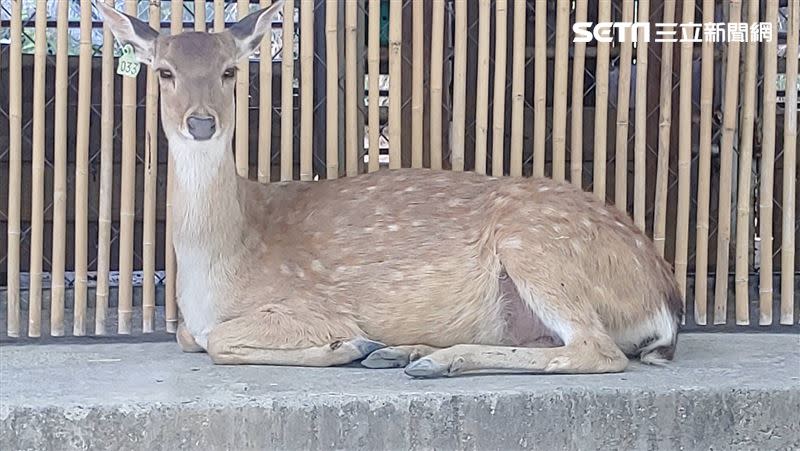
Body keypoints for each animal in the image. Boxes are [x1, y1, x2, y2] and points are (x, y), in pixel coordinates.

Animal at [98, 1, 680, 380]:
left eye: (229, 71)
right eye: (164, 71)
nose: (201, 122)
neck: (218, 266)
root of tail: (665, 300)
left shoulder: (312, 304)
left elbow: (218, 340)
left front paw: (348, 343)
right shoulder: (193, 323)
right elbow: (189, 336)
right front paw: (361, 347)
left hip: (539, 247)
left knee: (597, 350)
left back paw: (426, 359)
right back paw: (403, 352)